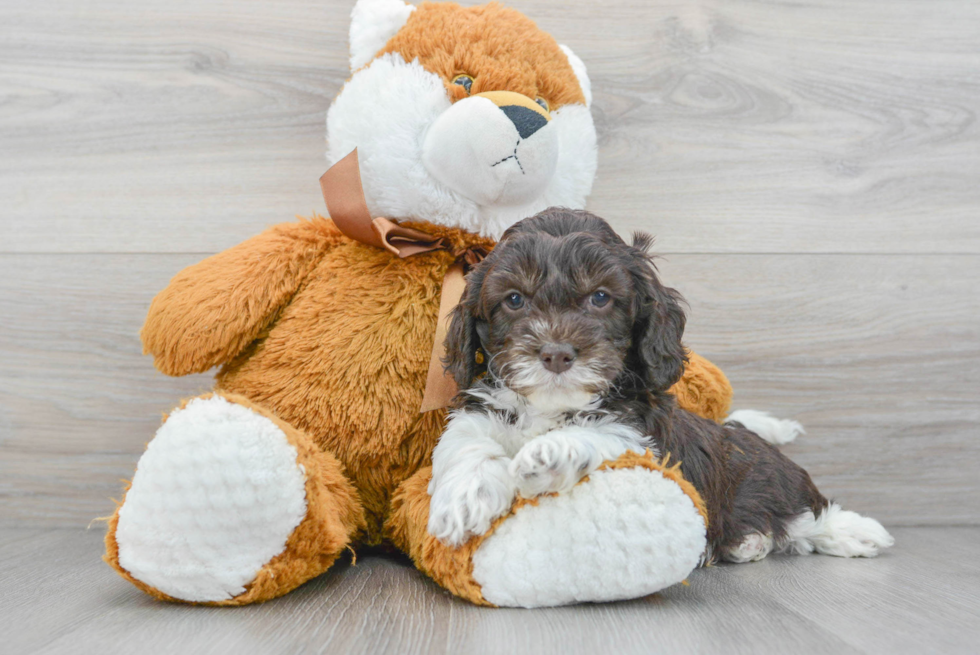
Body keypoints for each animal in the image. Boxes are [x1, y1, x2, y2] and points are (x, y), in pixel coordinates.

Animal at [424, 206, 892, 564]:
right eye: (515, 299)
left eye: (600, 297)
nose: (556, 354)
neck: (551, 406)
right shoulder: (478, 411)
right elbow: (468, 442)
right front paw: (463, 499)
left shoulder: (642, 434)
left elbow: (600, 433)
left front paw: (550, 453)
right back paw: (749, 543)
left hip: (772, 478)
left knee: (806, 510)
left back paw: (854, 532)